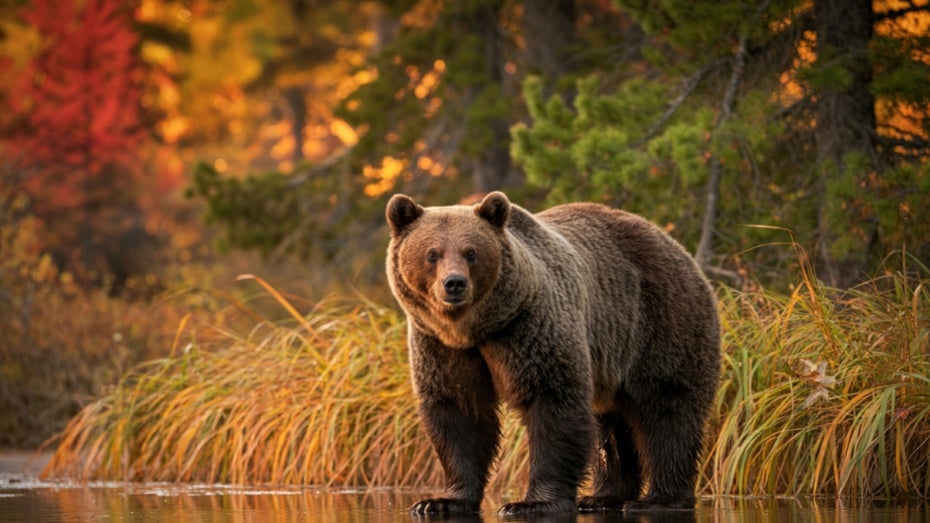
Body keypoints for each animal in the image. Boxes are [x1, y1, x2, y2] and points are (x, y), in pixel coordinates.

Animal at [385, 191, 720, 516]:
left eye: (471, 252)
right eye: (432, 253)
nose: (454, 283)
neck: (476, 328)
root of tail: (675, 245)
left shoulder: (530, 327)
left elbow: (553, 404)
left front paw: (531, 503)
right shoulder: (443, 347)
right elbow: (460, 412)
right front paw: (441, 501)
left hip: (659, 324)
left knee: (667, 411)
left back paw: (660, 498)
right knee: (610, 426)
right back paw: (603, 496)